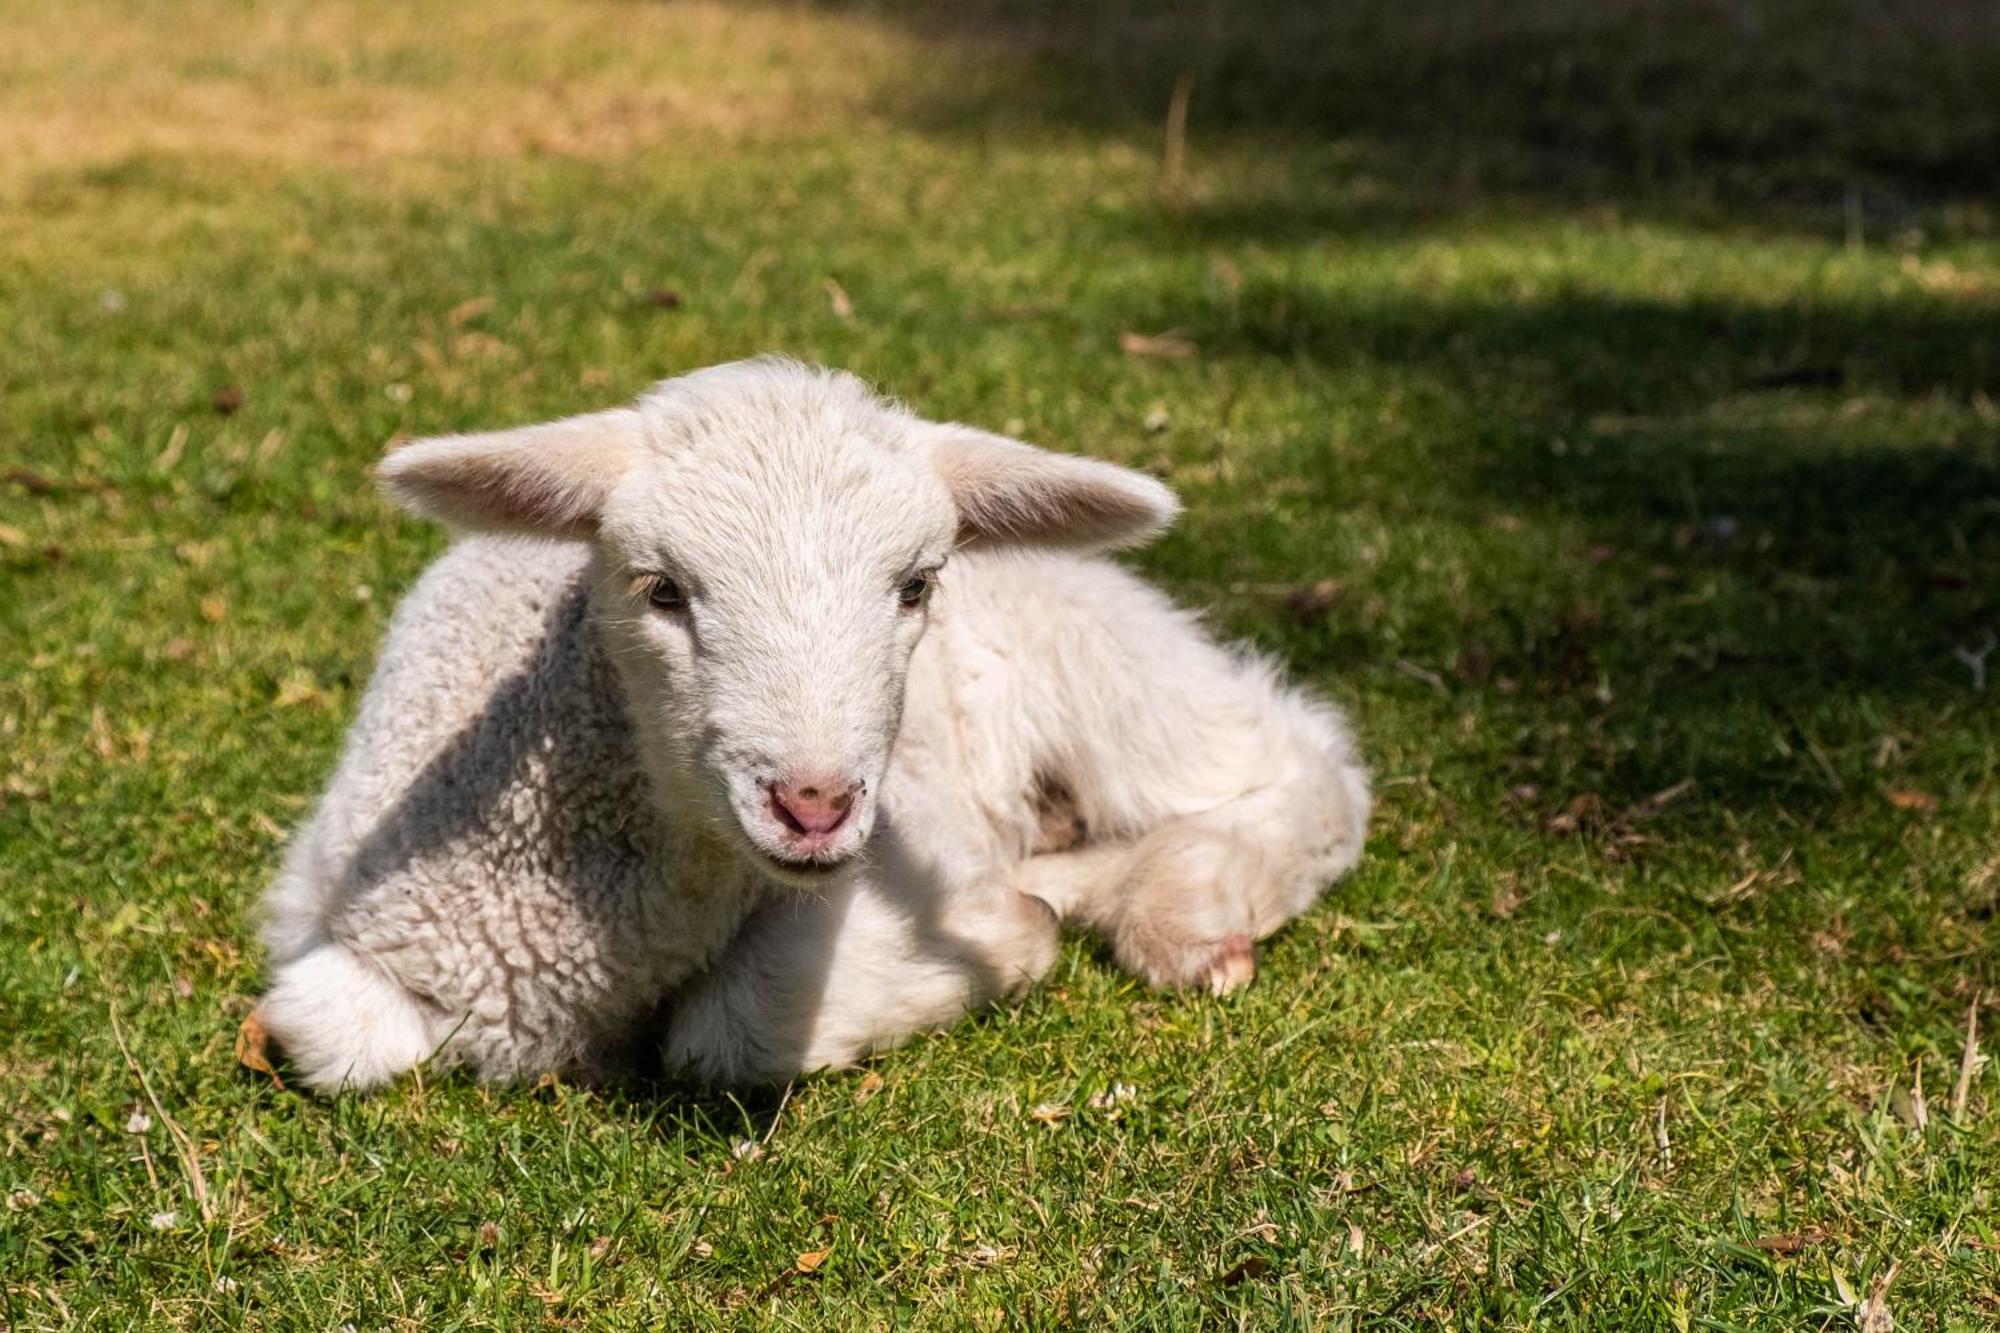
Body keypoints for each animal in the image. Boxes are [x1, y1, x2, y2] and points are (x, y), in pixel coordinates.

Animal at [258, 358, 1368, 1088]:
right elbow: (315, 1028)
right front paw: (1027, 911)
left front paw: (1015, 931)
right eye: (661, 589)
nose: (814, 803)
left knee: (1304, 766)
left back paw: (1179, 913)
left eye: (917, 585)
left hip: (1102, 660)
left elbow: (731, 1026)